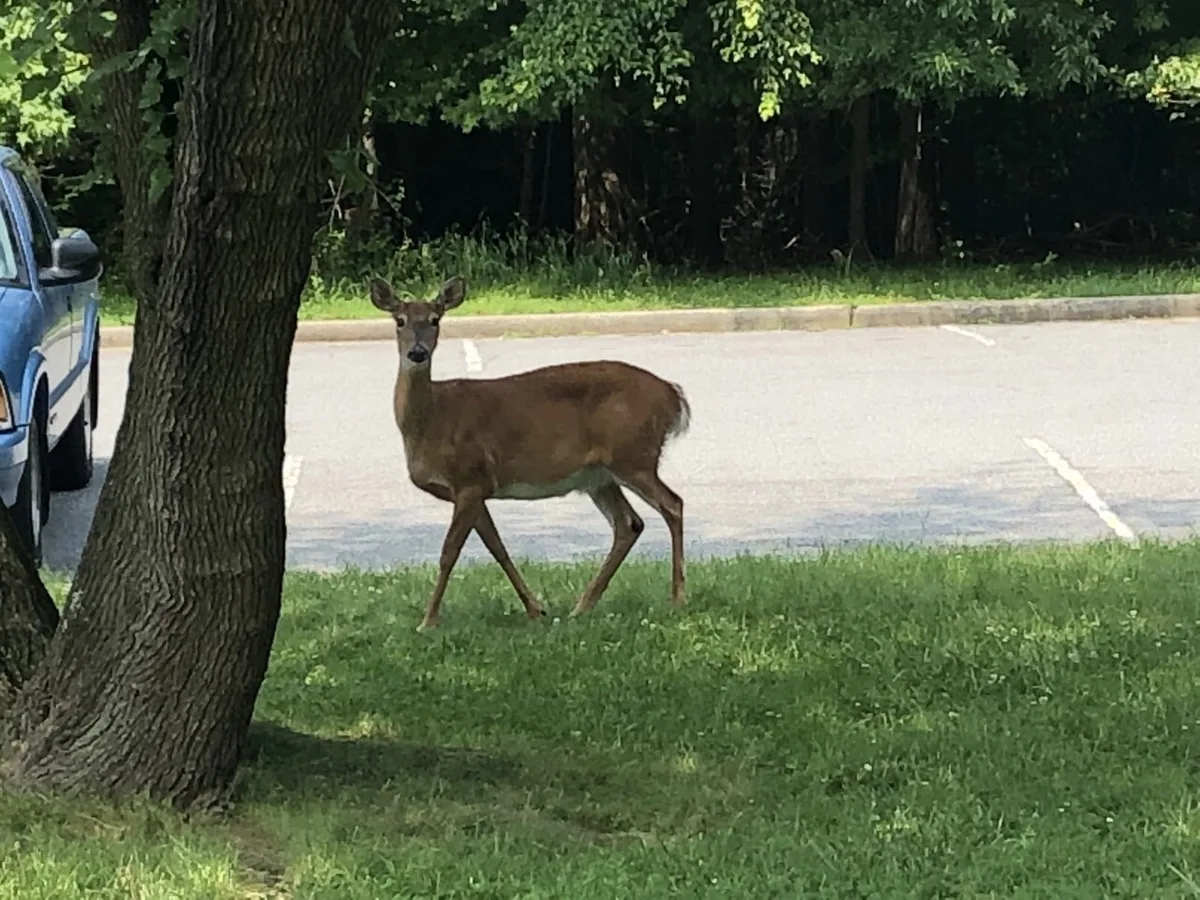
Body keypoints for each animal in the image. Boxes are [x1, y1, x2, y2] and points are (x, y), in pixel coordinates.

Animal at [370, 274, 691, 632]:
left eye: (435, 320)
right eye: (399, 321)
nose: (417, 352)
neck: (434, 418)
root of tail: (672, 395)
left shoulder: (470, 478)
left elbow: (449, 552)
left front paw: (427, 621)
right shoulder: (475, 488)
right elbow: (497, 547)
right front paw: (536, 610)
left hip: (633, 455)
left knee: (672, 504)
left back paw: (677, 598)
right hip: (599, 475)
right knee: (629, 523)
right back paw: (582, 606)